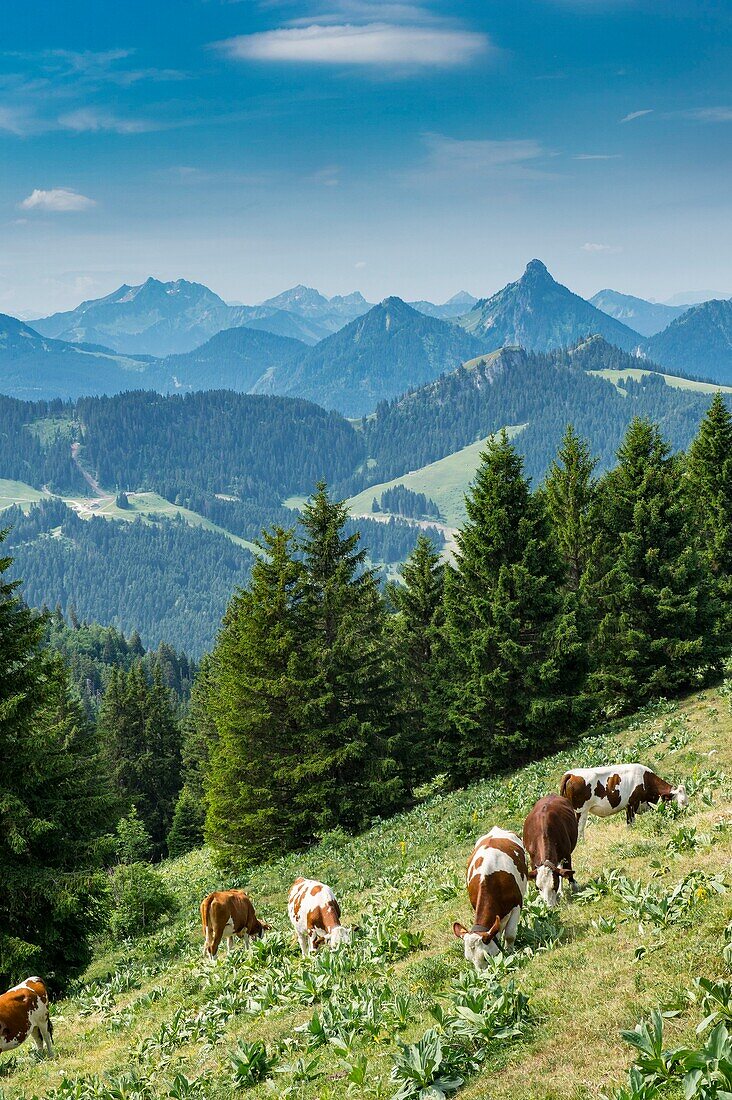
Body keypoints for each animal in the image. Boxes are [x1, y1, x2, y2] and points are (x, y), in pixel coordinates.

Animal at [451, 827, 526, 972]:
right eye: (469, 960)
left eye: (486, 957)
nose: (482, 975)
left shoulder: (516, 905)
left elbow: (510, 934)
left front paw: (510, 952)